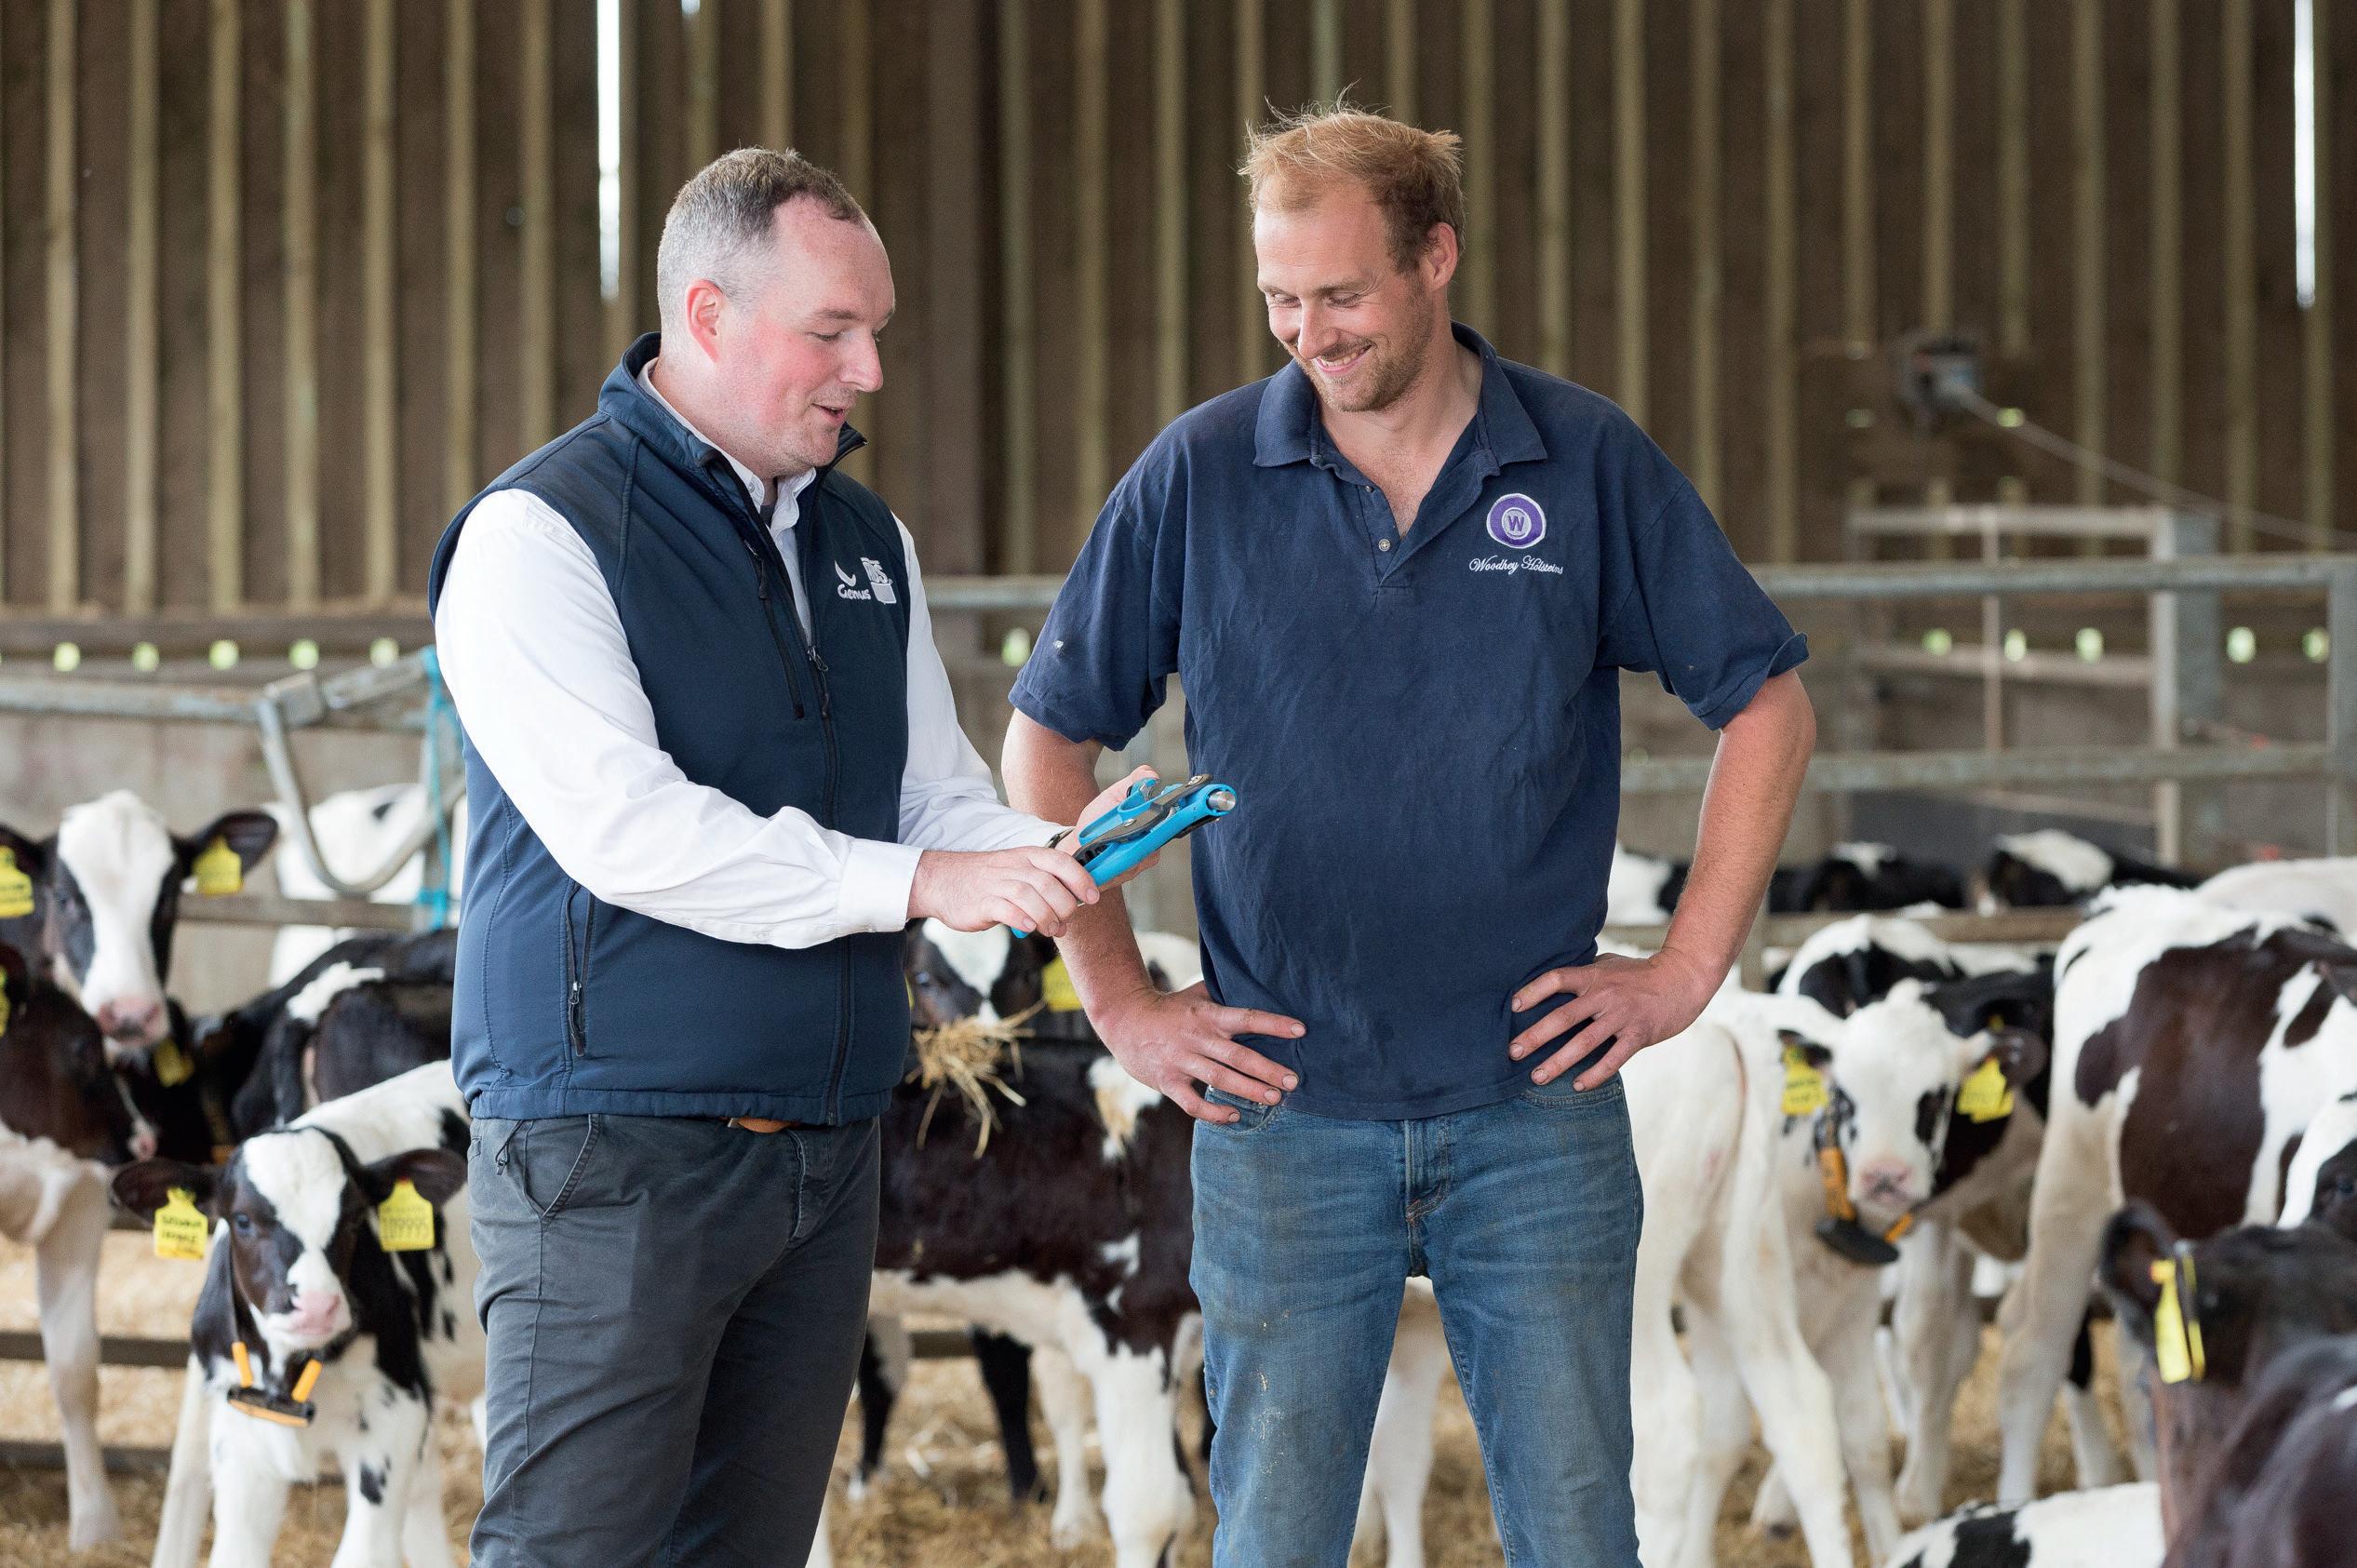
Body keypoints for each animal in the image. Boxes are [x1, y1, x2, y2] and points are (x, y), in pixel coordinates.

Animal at [111, 1061, 482, 1568]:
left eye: (354, 1220)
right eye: (243, 1220)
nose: (318, 1305)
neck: (288, 1369)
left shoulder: (397, 1412)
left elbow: (363, 1553)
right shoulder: (241, 1435)